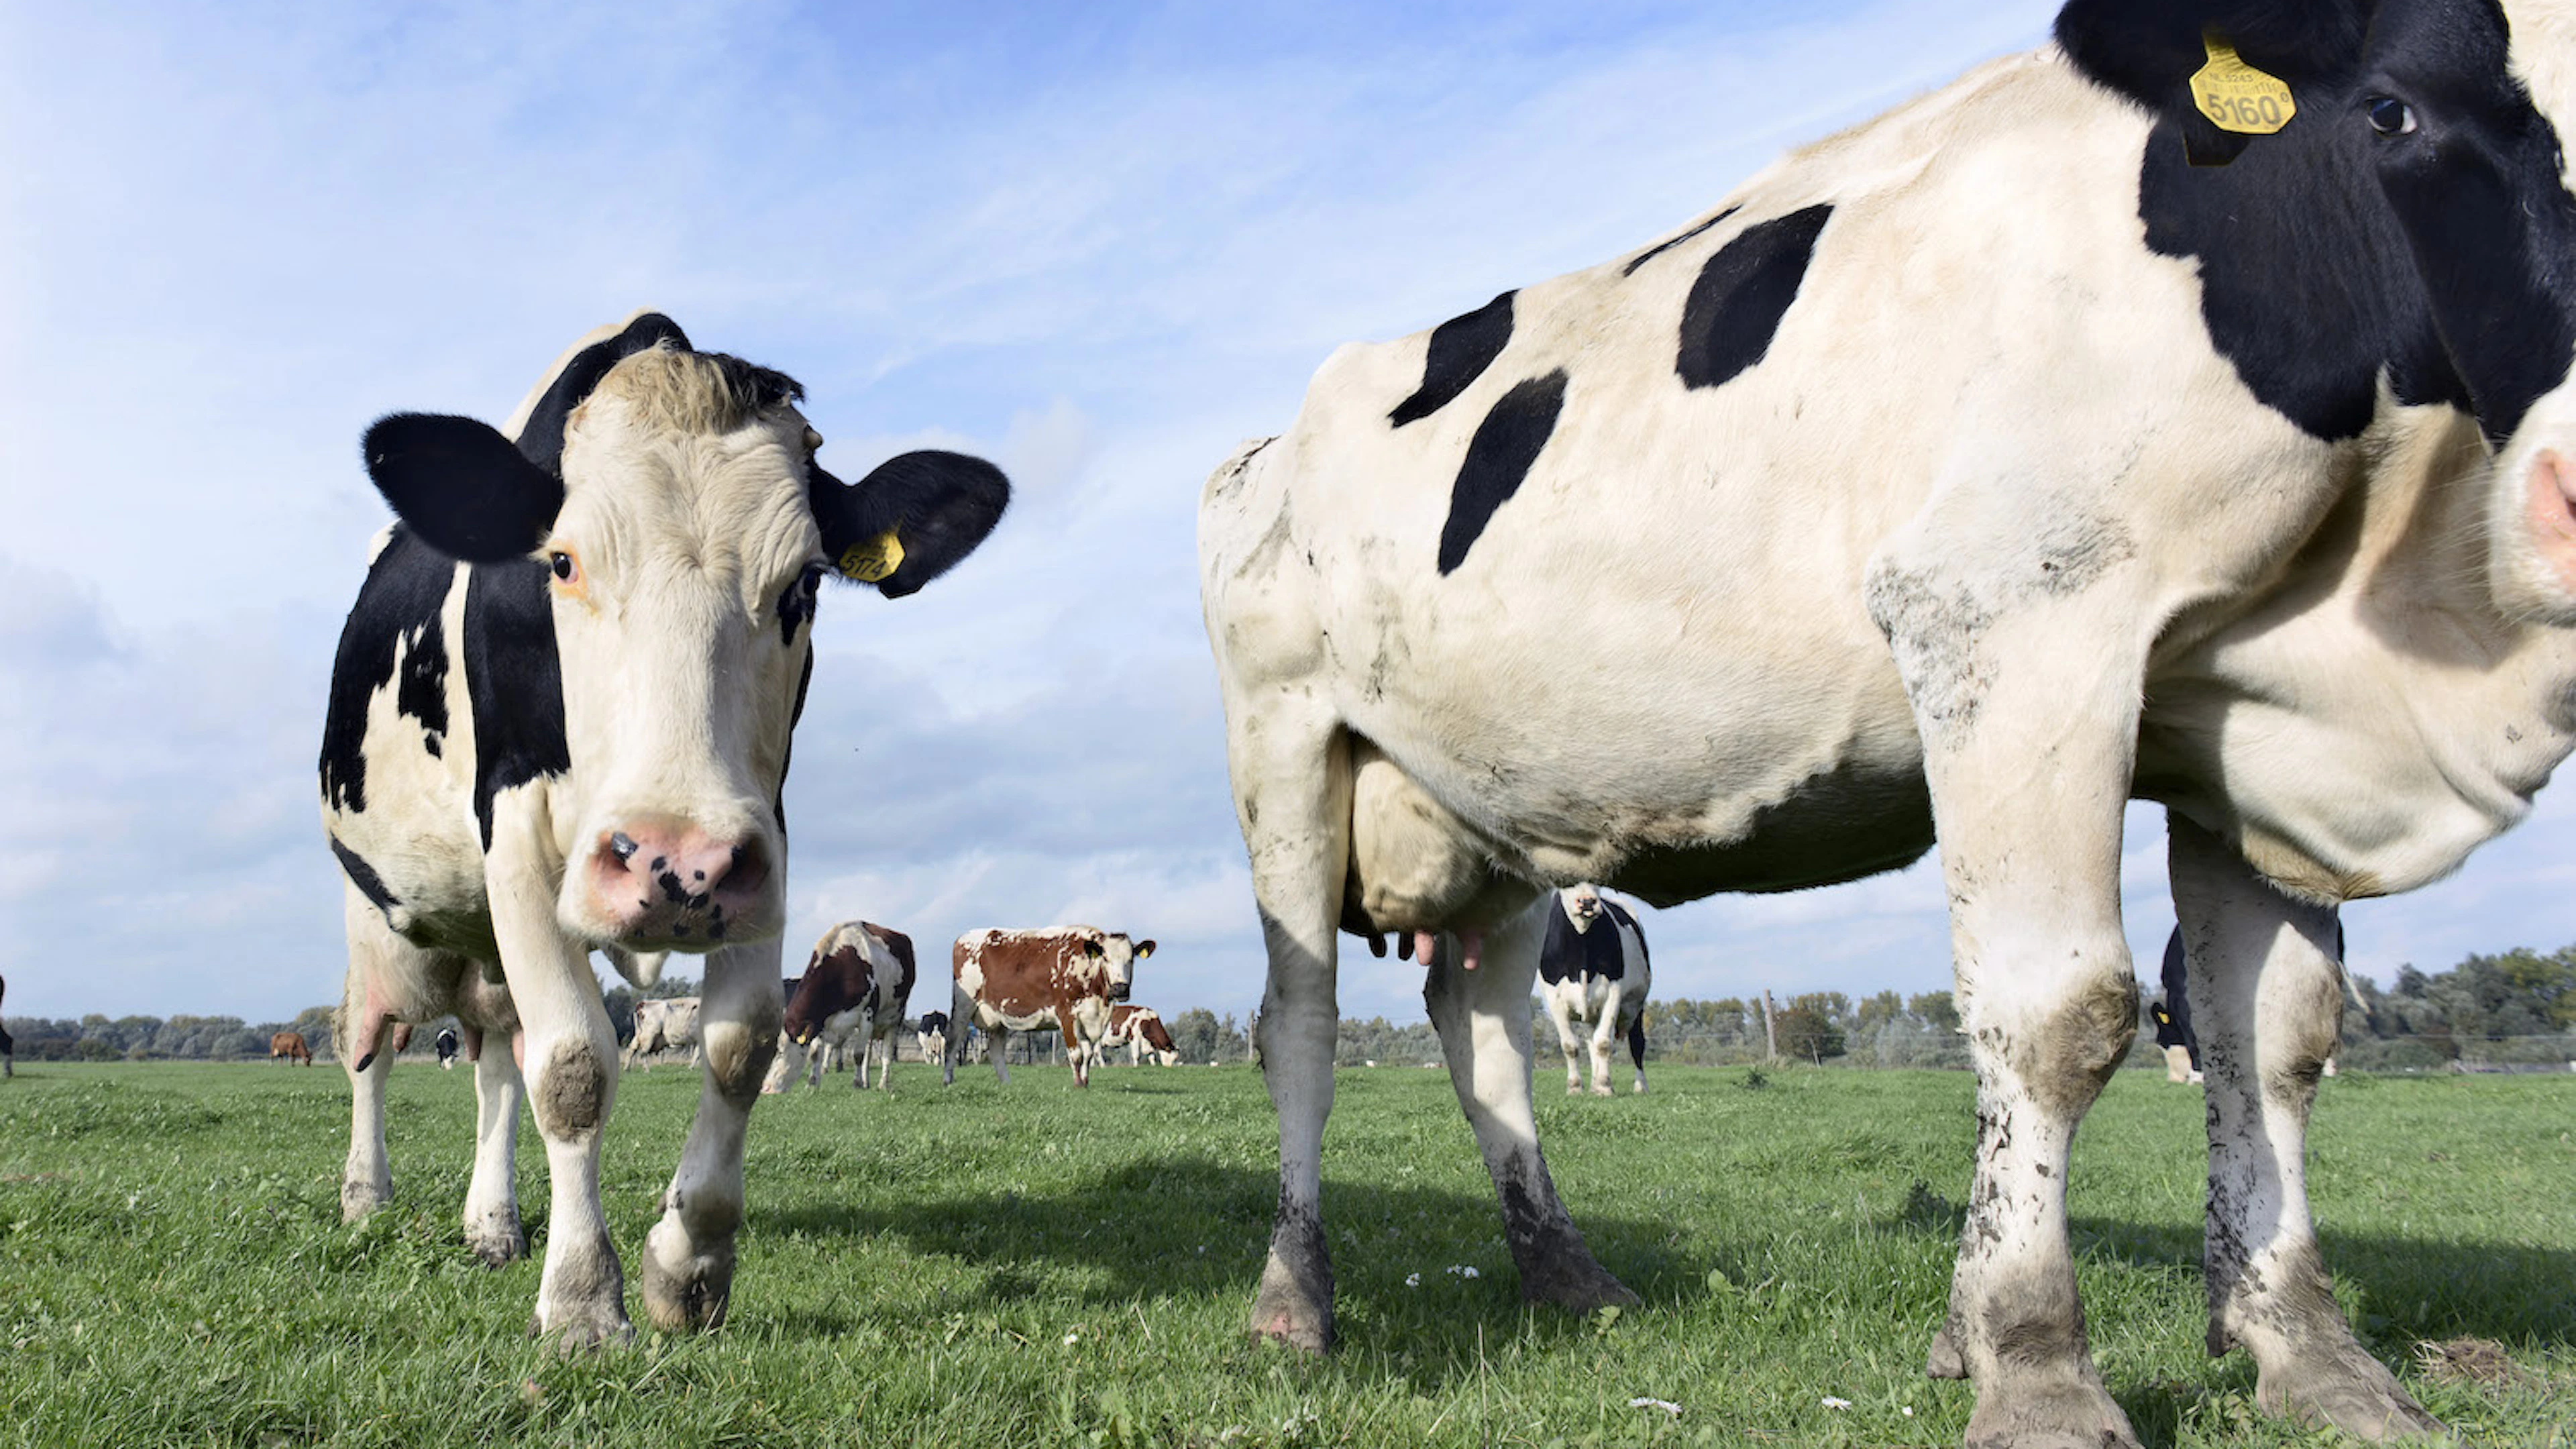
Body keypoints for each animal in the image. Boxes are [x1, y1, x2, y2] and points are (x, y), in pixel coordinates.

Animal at [767, 921, 916, 1091]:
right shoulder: (819, 1019)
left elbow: (858, 1054)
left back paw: (883, 1084)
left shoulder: (867, 1015)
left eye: (780, 1052)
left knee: (886, 1053)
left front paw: (857, 1083)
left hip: (895, 1017)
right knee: (869, 1052)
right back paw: (867, 1081)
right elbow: (815, 1054)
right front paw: (812, 1083)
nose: (765, 1088)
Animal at [945, 927, 1155, 1087]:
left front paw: (1085, 1082)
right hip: (963, 1005)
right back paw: (947, 1080)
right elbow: (1077, 1054)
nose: (1120, 988)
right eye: (1105, 958)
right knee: (953, 1041)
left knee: (996, 1051)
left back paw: (1007, 1084)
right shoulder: (1067, 1014)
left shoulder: (1089, 1017)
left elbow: (1088, 1054)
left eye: (1131, 959)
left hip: (998, 1016)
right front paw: (1078, 1084)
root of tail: (965, 937)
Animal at [1538, 886, 1651, 1096]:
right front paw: (1575, 1087)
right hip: (1591, 1013)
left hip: (1637, 1003)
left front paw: (1604, 1086)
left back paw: (1641, 1086)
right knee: (1591, 1042)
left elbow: (1604, 1043)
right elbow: (1570, 1046)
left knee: (1637, 1043)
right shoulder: (1554, 998)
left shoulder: (1614, 991)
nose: (1588, 902)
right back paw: (1593, 1084)